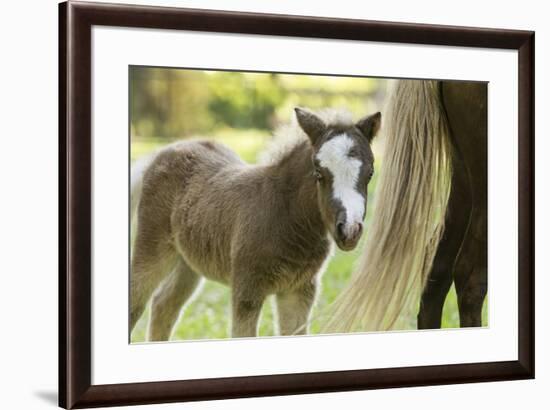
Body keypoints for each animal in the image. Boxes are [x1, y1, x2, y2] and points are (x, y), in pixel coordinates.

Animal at [130, 106, 380, 340]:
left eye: (370, 174)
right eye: (318, 173)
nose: (349, 230)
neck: (287, 217)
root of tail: (162, 151)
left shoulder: (300, 290)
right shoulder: (247, 290)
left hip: (189, 260)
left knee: (164, 304)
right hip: (152, 247)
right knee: (137, 304)